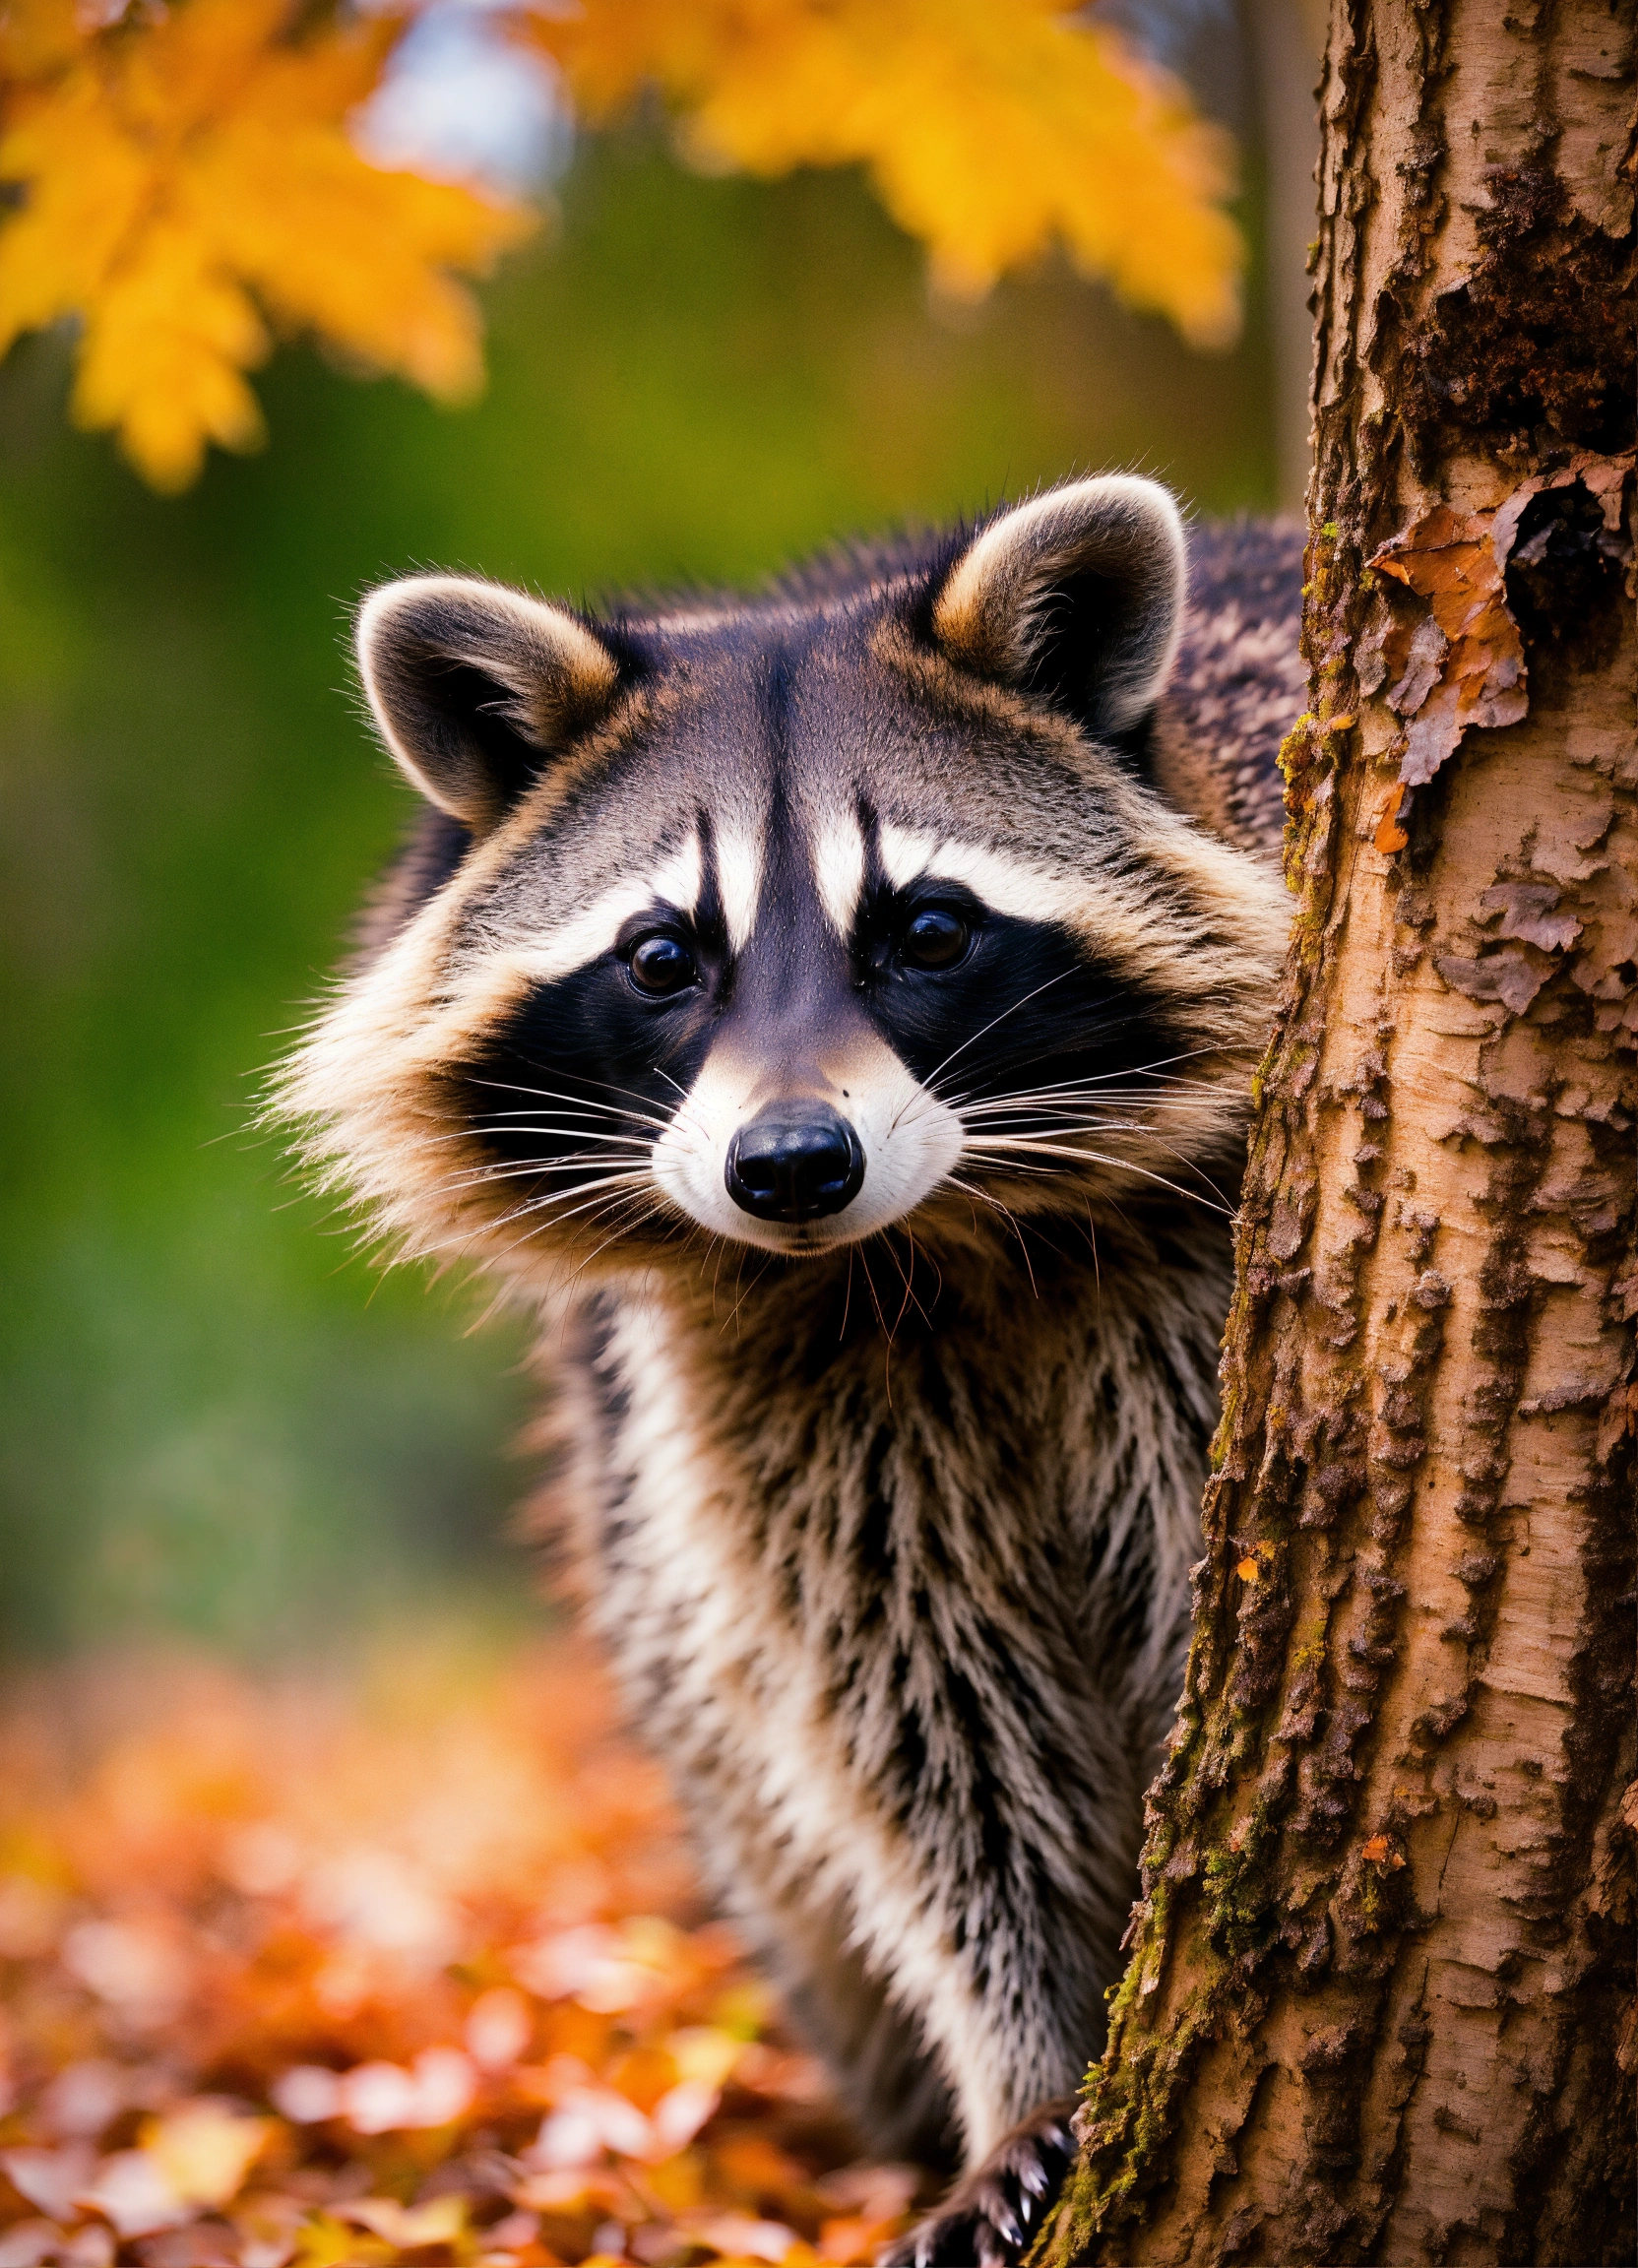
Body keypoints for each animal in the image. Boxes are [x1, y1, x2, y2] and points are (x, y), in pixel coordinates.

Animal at [280, 477, 1303, 2266]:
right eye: (659, 955)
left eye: (926, 928)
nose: (790, 1166)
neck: (928, 1246)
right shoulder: (777, 1395)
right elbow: (927, 1736)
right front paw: (1023, 2060)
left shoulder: (1186, 1295)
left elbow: (1191, 1607)